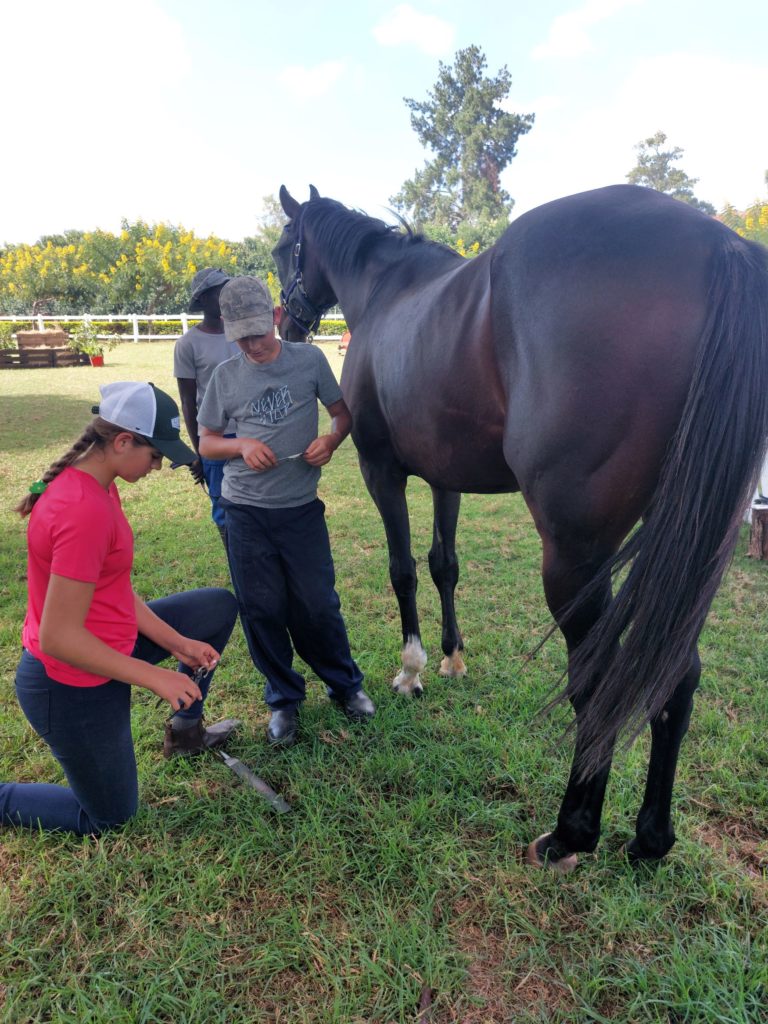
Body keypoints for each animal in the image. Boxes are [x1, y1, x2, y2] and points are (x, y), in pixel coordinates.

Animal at [274, 184, 768, 872]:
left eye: (281, 251)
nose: (285, 325)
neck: (385, 290)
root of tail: (717, 241)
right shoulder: (445, 477)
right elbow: (444, 565)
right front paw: (450, 659)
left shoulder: (382, 470)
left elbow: (403, 570)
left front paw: (411, 670)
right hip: (682, 552)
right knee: (676, 673)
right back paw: (650, 838)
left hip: (575, 561)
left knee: (597, 680)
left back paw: (571, 832)